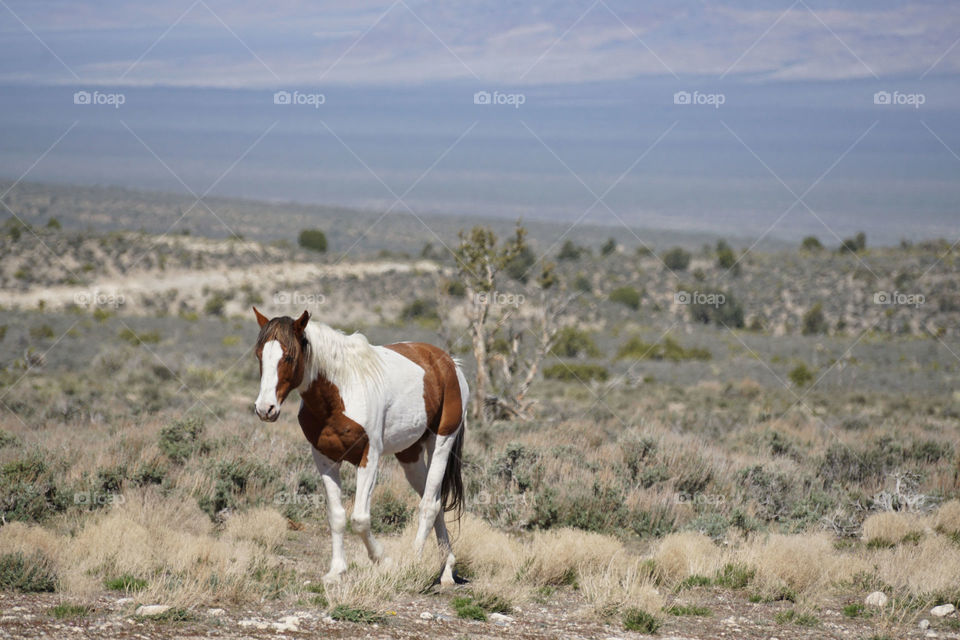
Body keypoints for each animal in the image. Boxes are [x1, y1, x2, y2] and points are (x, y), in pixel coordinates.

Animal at [251, 308, 468, 584]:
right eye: (260, 355)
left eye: (288, 356)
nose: (265, 409)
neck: (340, 393)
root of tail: (450, 363)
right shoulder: (324, 459)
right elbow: (336, 516)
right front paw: (336, 571)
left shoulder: (369, 458)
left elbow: (360, 519)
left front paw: (384, 561)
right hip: (410, 456)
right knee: (436, 501)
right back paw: (447, 570)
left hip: (441, 443)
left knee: (429, 504)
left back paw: (413, 564)